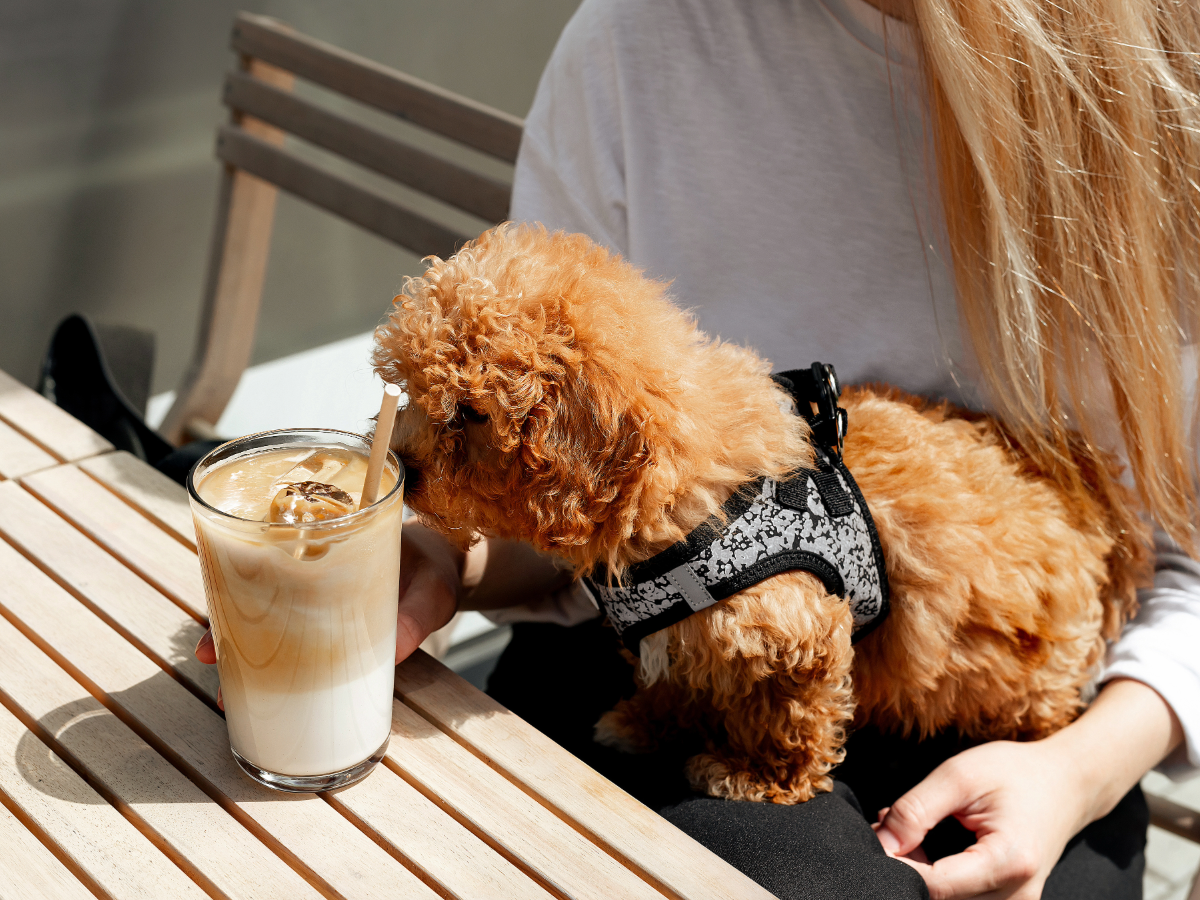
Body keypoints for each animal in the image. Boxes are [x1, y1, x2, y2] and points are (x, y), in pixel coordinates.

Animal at [374, 224, 1152, 801]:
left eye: (471, 414)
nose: (404, 469)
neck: (677, 490)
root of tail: (1090, 501)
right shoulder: (678, 638)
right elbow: (676, 683)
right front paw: (643, 724)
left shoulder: (797, 634)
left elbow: (790, 720)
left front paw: (756, 778)